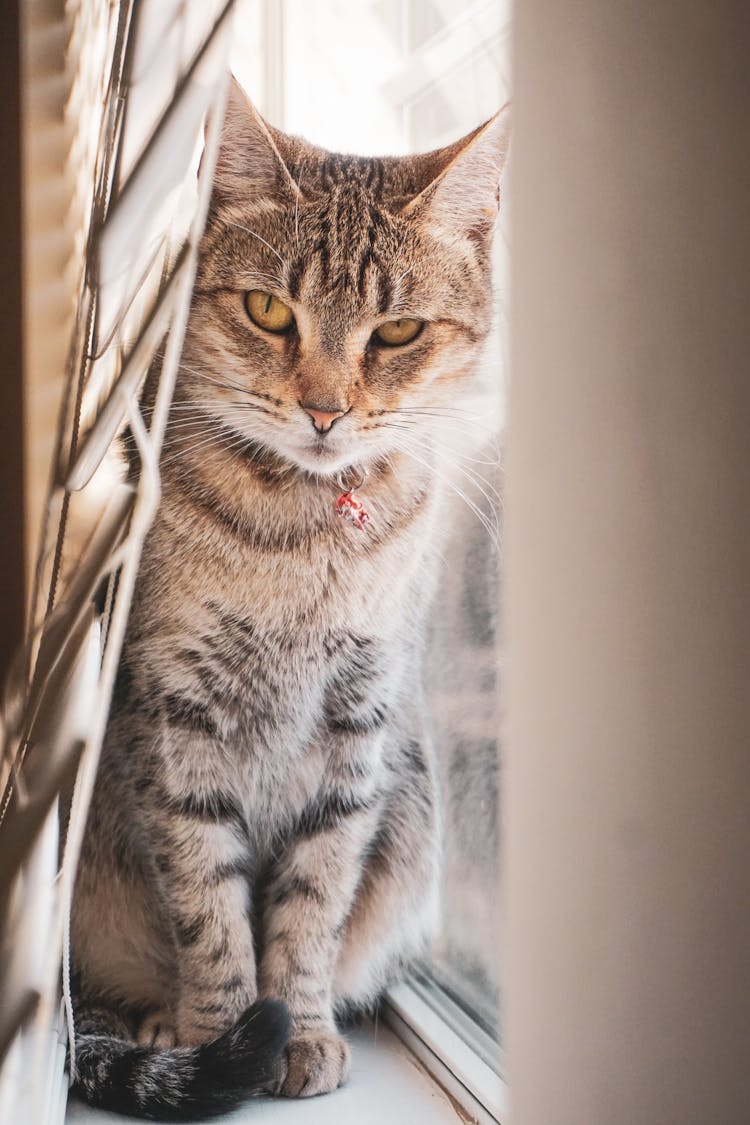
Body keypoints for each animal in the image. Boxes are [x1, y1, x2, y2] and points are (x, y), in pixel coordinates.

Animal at [70, 77, 510, 1116]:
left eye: (397, 331)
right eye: (269, 310)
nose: (323, 409)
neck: (302, 540)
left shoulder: (359, 728)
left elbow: (313, 902)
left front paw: (299, 1027)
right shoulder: (175, 718)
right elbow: (207, 900)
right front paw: (222, 1030)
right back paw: (156, 1023)